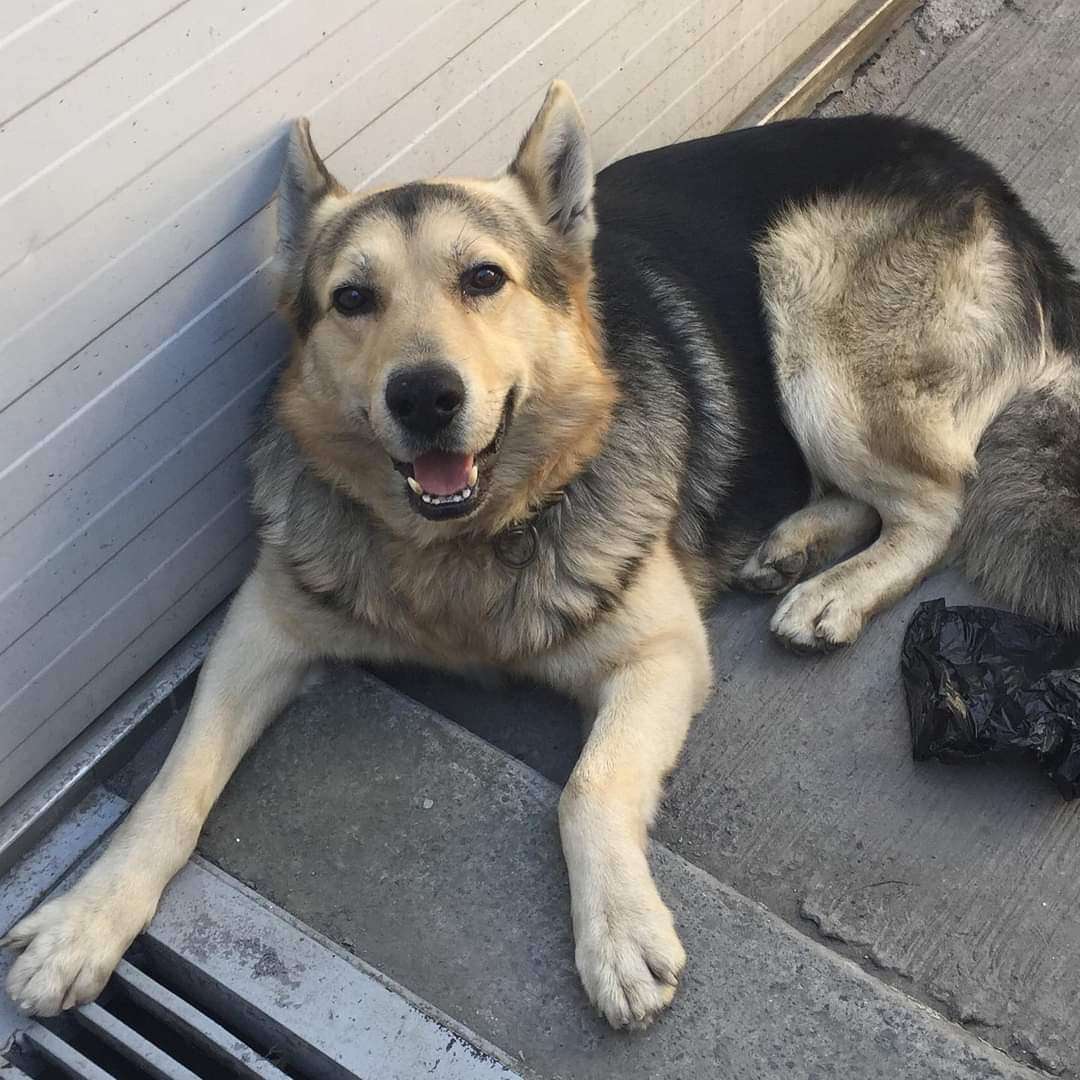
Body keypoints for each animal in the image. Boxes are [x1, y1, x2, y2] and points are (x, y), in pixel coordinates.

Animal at [5, 81, 1079, 1030]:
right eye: (352, 299)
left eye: (484, 279)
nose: (423, 396)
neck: (461, 542)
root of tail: (988, 181)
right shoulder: (260, 627)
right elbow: (172, 785)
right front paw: (86, 917)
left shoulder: (662, 655)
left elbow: (588, 788)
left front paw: (618, 933)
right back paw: (797, 545)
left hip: (808, 299)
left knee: (941, 497)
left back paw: (838, 592)